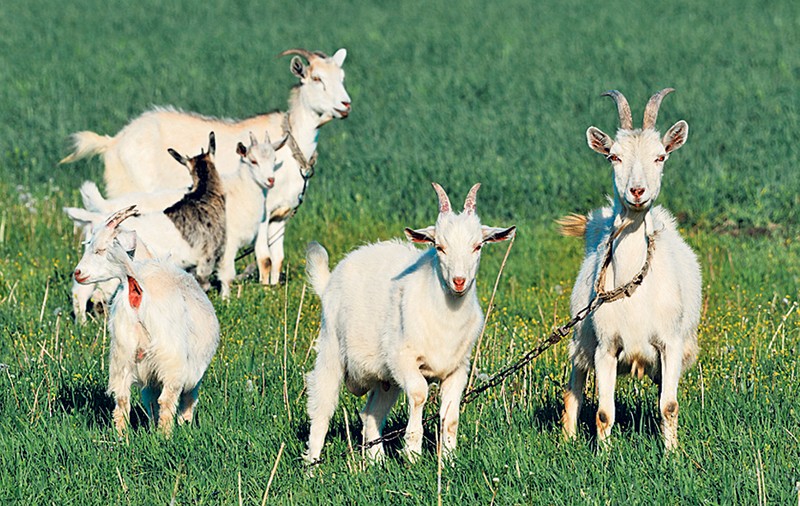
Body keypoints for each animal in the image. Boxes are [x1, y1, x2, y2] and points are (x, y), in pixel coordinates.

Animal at [60, 48, 351, 286]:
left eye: (342, 77)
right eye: (316, 79)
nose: (345, 105)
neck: (291, 144)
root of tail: (113, 141)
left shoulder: (281, 214)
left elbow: (277, 258)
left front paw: (272, 288)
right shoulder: (263, 212)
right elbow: (265, 258)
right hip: (125, 189)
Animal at [72, 206, 220, 437]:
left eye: (100, 249)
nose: (77, 273)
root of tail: (136, 284)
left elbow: (148, 402)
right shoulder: (194, 369)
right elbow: (188, 399)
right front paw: (184, 424)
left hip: (122, 354)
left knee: (122, 398)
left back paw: (122, 437)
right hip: (170, 358)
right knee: (167, 399)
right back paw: (165, 436)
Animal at [304, 183, 516, 464]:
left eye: (478, 246)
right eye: (439, 247)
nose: (459, 281)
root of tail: (329, 281)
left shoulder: (458, 368)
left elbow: (450, 415)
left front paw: (448, 459)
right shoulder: (402, 358)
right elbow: (418, 394)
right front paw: (413, 453)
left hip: (385, 378)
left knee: (371, 414)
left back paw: (376, 462)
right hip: (331, 349)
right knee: (321, 408)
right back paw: (312, 465)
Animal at [561, 89, 701, 451]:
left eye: (661, 157)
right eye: (614, 157)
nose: (637, 192)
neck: (631, 286)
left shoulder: (670, 344)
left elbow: (668, 405)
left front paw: (672, 455)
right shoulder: (606, 347)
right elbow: (603, 413)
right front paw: (603, 457)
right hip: (580, 338)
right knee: (573, 389)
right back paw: (567, 439)